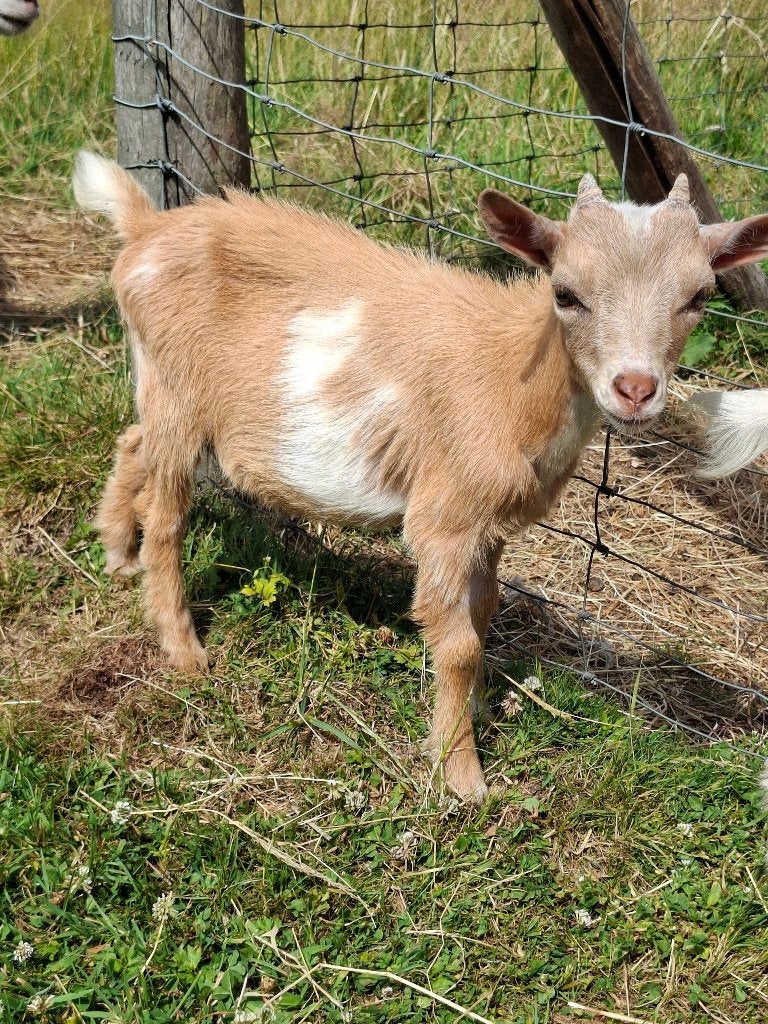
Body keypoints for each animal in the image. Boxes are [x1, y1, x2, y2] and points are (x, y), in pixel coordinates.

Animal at [72, 150, 768, 801]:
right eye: (565, 293)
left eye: (699, 297)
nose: (635, 390)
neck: (513, 376)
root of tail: (145, 228)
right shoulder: (446, 516)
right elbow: (456, 640)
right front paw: (460, 775)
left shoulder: (490, 523)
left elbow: (484, 612)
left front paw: (477, 711)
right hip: (178, 388)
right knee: (168, 516)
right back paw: (185, 651)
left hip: (160, 389)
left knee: (131, 443)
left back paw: (117, 552)